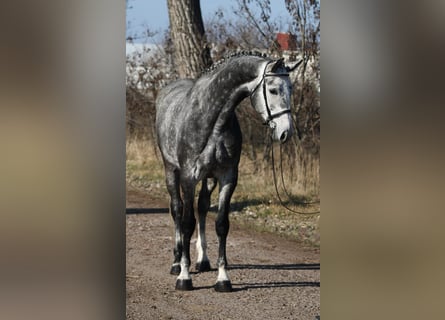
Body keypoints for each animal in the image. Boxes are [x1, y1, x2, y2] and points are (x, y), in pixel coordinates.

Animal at [156, 53, 302, 292]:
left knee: (202, 208)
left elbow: (221, 224)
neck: (211, 120)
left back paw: (203, 261)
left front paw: (223, 279)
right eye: (273, 90)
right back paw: (177, 263)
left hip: (208, 179)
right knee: (177, 210)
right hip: (171, 171)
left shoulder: (227, 178)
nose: (285, 132)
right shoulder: (188, 178)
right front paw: (185, 278)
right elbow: (187, 223)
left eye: (291, 89)